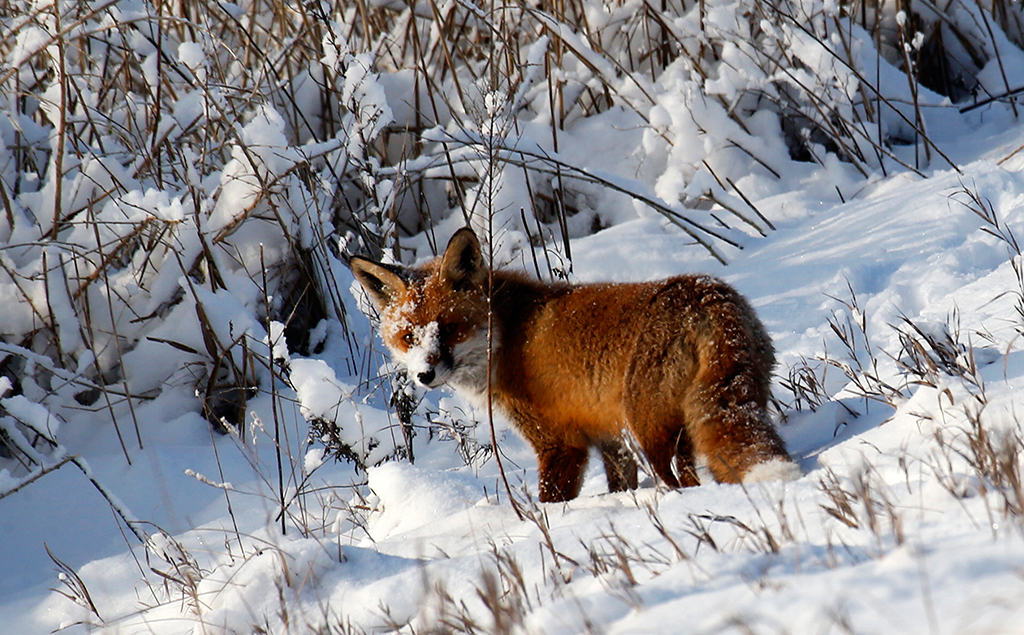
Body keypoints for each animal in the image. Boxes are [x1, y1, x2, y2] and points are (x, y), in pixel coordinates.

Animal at [352, 228, 798, 501]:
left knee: (681, 480)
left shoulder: (560, 444)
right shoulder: (611, 441)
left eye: (449, 328)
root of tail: (707, 297)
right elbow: (620, 485)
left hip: (652, 433)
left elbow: (551, 500)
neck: (506, 335)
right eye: (408, 337)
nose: (424, 375)